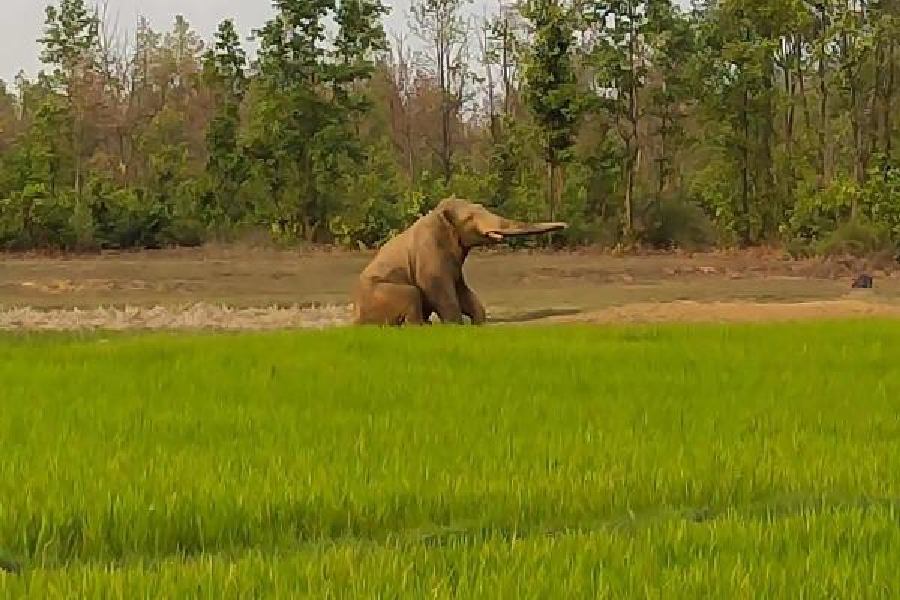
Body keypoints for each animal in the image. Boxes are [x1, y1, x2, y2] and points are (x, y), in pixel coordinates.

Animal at [353, 197, 567, 326]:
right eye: (470, 218)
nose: (565, 225)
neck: (439, 213)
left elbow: (462, 289)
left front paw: (478, 323)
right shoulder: (430, 254)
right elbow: (437, 288)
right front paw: (456, 325)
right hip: (383, 293)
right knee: (412, 293)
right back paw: (422, 326)